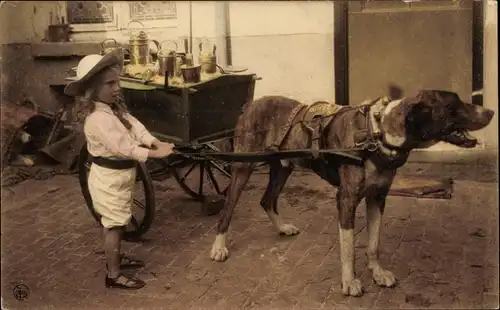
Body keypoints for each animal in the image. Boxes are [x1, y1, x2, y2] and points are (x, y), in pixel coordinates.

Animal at [209, 89, 494, 296]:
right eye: (453, 105)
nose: (490, 111)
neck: (378, 133)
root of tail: (252, 103)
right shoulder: (346, 199)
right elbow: (349, 248)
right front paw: (349, 281)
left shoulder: (377, 197)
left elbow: (374, 243)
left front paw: (378, 272)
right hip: (243, 167)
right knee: (227, 209)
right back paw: (219, 247)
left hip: (283, 167)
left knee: (267, 199)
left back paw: (281, 227)